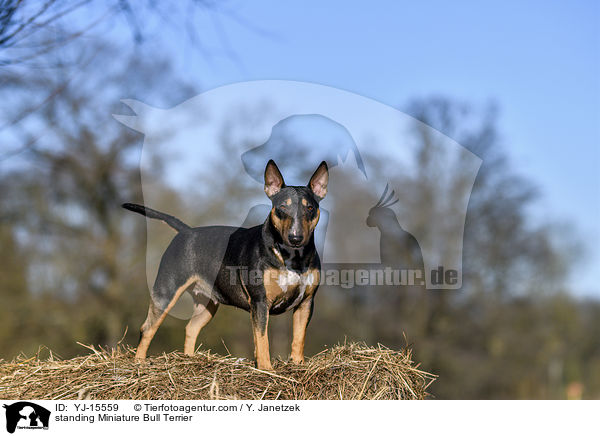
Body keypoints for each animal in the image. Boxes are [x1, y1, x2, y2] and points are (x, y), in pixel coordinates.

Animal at [122, 158, 328, 370]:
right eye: (282, 207)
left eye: (310, 208)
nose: (295, 238)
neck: (291, 257)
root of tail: (186, 231)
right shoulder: (260, 301)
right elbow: (262, 339)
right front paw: (266, 369)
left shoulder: (306, 302)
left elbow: (298, 337)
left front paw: (298, 364)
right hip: (166, 291)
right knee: (147, 328)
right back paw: (139, 363)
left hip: (207, 303)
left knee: (191, 327)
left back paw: (189, 358)